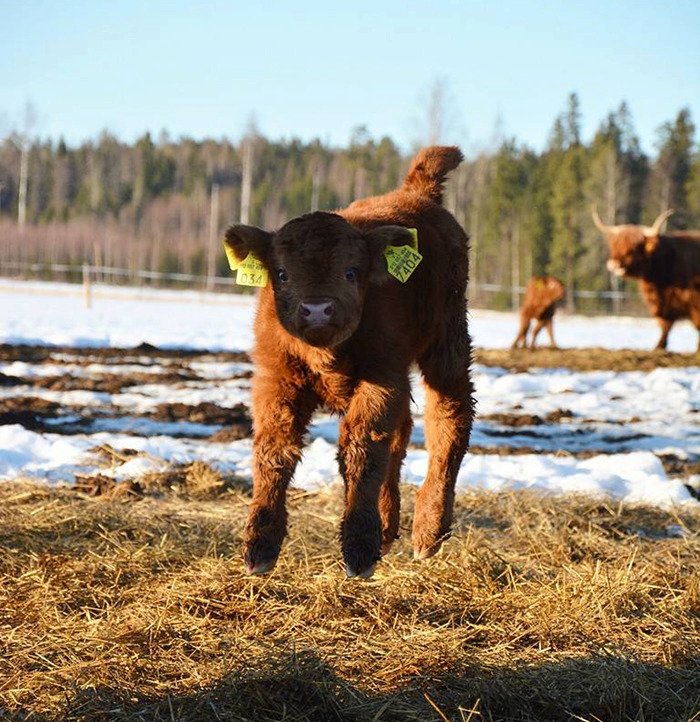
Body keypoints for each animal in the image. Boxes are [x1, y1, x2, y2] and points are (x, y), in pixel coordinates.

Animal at [223, 146, 476, 580]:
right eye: (282, 273)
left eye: (351, 272)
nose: (317, 309)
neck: (327, 356)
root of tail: (416, 192)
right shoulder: (275, 379)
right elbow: (274, 451)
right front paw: (260, 545)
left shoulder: (381, 378)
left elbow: (361, 451)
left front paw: (359, 548)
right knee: (402, 433)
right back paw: (388, 527)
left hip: (449, 342)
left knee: (450, 420)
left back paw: (428, 531)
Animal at [592, 207, 700, 350]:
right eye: (615, 245)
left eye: (633, 248)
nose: (613, 264)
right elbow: (665, 326)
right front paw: (659, 346)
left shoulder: (694, 303)